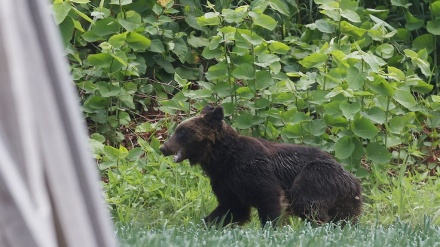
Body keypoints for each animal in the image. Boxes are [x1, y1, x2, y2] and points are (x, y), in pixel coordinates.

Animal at [160, 105, 362, 227]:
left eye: (182, 131)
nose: (163, 147)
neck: (222, 159)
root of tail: (352, 178)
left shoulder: (253, 170)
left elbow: (269, 198)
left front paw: (271, 229)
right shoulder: (226, 182)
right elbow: (230, 209)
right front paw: (206, 224)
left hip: (316, 177)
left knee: (307, 203)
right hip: (346, 200)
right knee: (345, 218)